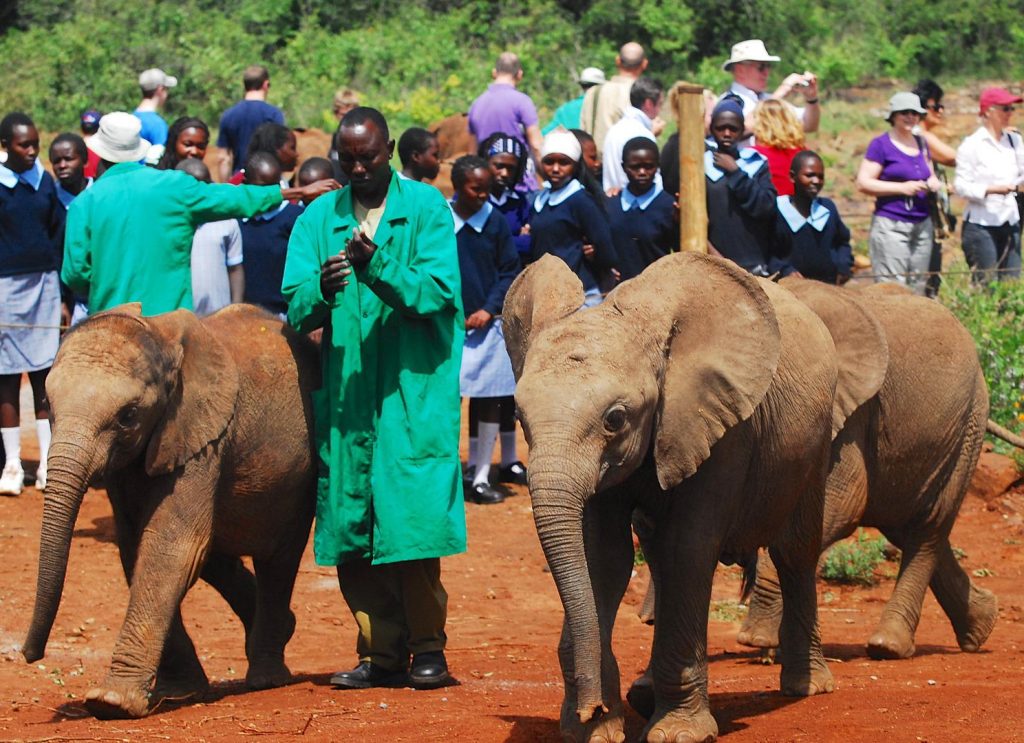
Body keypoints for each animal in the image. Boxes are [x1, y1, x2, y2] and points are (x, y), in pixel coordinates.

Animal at [22, 303, 319, 720]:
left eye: (128, 415)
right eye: (47, 405)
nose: (29, 655)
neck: (159, 337)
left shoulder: (200, 438)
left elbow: (170, 547)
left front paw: (111, 702)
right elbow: (136, 548)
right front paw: (180, 691)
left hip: (299, 477)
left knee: (278, 560)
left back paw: (266, 677)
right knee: (217, 557)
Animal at [503, 252, 839, 743]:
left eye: (615, 418)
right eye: (518, 415)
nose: (589, 708)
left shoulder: (721, 424)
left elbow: (688, 550)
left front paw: (679, 734)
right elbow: (601, 556)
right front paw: (597, 731)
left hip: (815, 440)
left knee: (795, 550)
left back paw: (806, 687)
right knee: (657, 554)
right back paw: (643, 696)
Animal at [732, 278, 998, 660]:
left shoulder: (852, 411)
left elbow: (844, 505)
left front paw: (758, 642)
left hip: (969, 425)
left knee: (928, 528)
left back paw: (888, 646)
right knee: (905, 524)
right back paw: (982, 626)